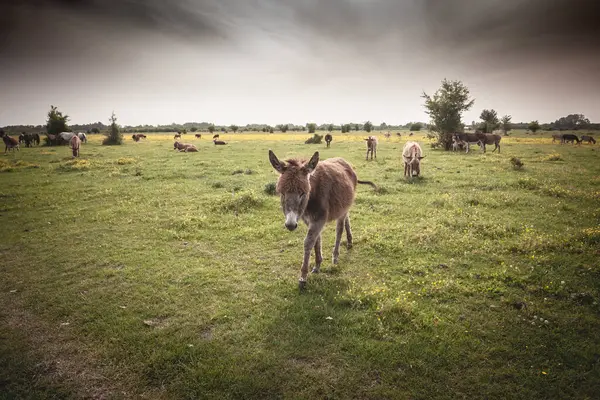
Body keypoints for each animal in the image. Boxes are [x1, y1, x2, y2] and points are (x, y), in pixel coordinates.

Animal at [270, 149, 378, 288]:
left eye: (303, 193)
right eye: (281, 193)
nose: (290, 225)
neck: (312, 196)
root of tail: (346, 163)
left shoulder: (319, 219)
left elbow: (308, 242)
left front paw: (303, 277)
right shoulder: (309, 220)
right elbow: (317, 240)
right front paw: (317, 265)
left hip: (342, 209)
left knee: (339, 230)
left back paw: (335, 256)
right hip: (344, 206)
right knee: (347, 219)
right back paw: (349, 241)